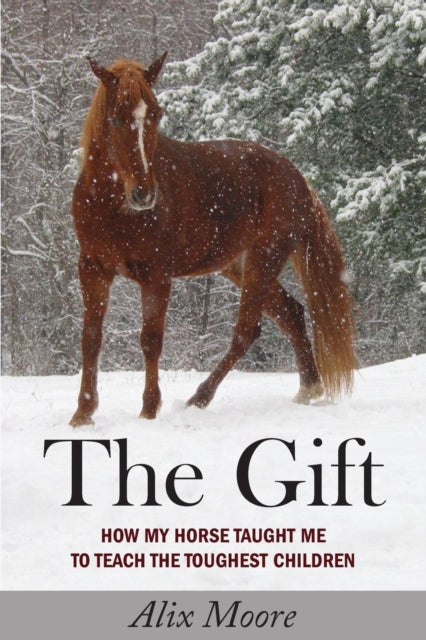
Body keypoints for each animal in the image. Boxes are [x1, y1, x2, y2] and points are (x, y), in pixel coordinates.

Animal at [70, 54, 356, 426]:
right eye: (115, 118)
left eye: (156, 113)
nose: (144, 194)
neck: (111, 206)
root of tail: (296, 177)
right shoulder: (92, 269)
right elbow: (90, 339)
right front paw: (82, 413)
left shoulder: (156, 276)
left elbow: (151, 340)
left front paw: (149, 410)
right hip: (241, 266)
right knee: (290, 313)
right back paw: (308, 388)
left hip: (264, 259)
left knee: (247, 331)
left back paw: (199, 398)